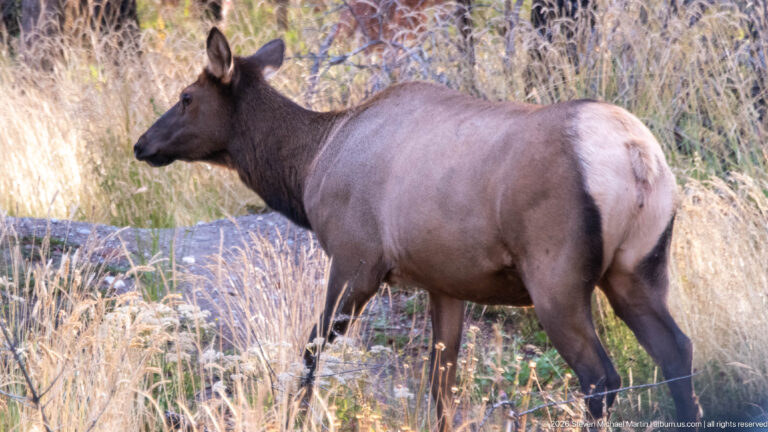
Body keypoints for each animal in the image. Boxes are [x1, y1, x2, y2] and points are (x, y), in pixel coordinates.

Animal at [133, 27, 701, 430]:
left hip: (555, 275)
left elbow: (310, 351)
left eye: (186, 96)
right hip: (639, 268)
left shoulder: (355, 259)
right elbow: (440, 386)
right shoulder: (446, 282)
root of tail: (637, 157)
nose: (142, 144)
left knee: (600, 378)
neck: (309, 167)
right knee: (677, 351)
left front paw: (292, 418)